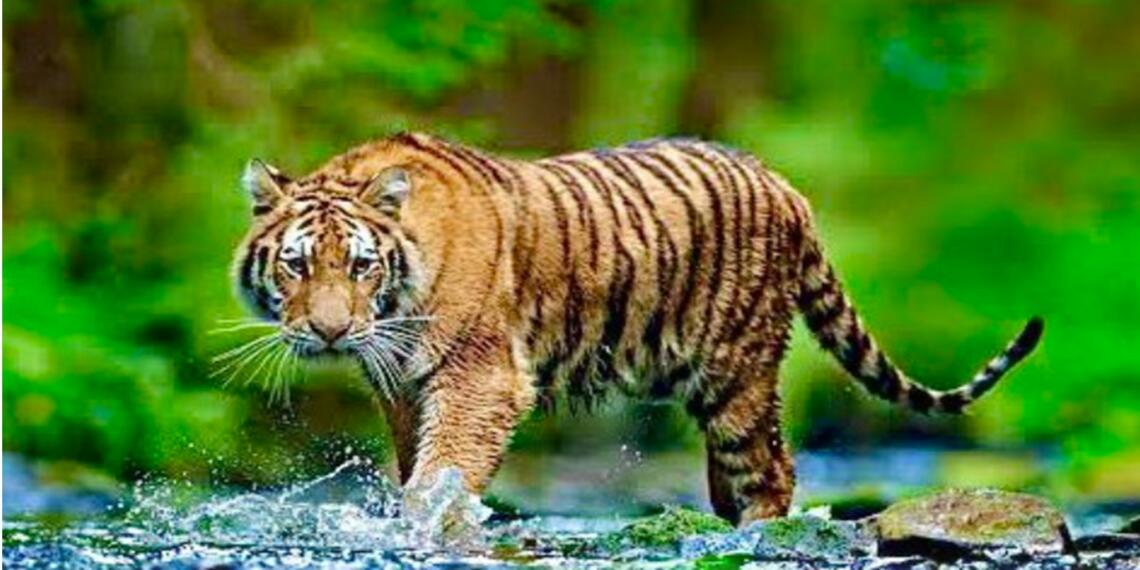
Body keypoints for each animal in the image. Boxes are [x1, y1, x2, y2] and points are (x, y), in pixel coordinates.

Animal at [231, 131, 1043, 525]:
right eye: (297, 266)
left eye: (361, 266)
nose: (331, 333)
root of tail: (786, 186)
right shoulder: (402, 387)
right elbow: (415, 465)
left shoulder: (481, 378)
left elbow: (442, 472)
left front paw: (426, 525)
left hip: (736, 375)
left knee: (772, 471)